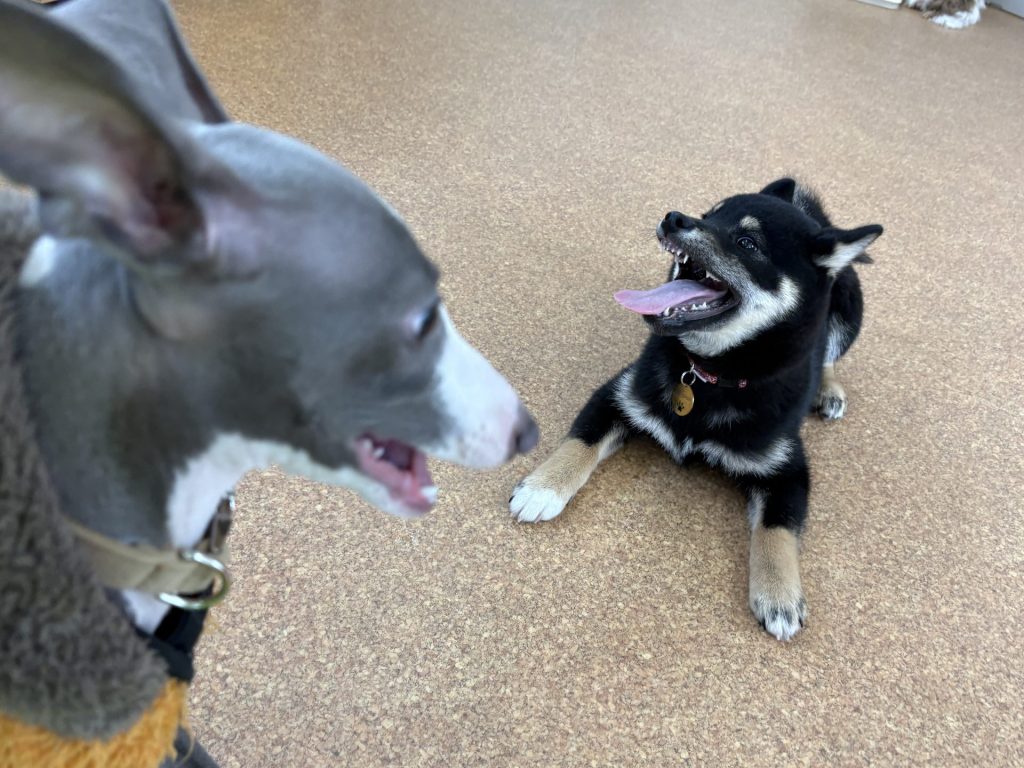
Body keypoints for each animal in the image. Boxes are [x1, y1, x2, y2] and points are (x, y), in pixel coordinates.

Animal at [510, 178, 882, 641]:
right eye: (710, 214)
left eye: (747, 242)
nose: (675, 217)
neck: (708, 375)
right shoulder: (619, 395)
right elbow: (580, 442)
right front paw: (544, 487)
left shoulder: (787, 468)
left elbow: (777, 530)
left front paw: (779, 594)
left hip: (848, 312)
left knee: (830, 355)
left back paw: (828, 390)